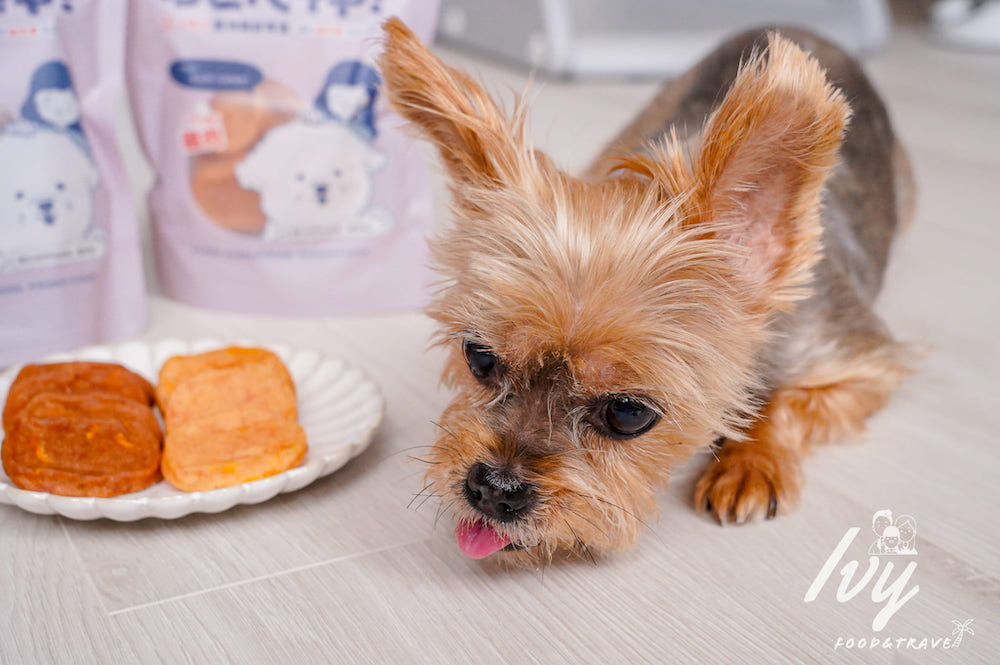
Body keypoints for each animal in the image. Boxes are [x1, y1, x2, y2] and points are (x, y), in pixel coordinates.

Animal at [378, 18, 912, 564]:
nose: (491, 487)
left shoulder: (861, 366)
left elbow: (783, 404)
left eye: (628, 414)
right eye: (479, 358)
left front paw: (748, 463)